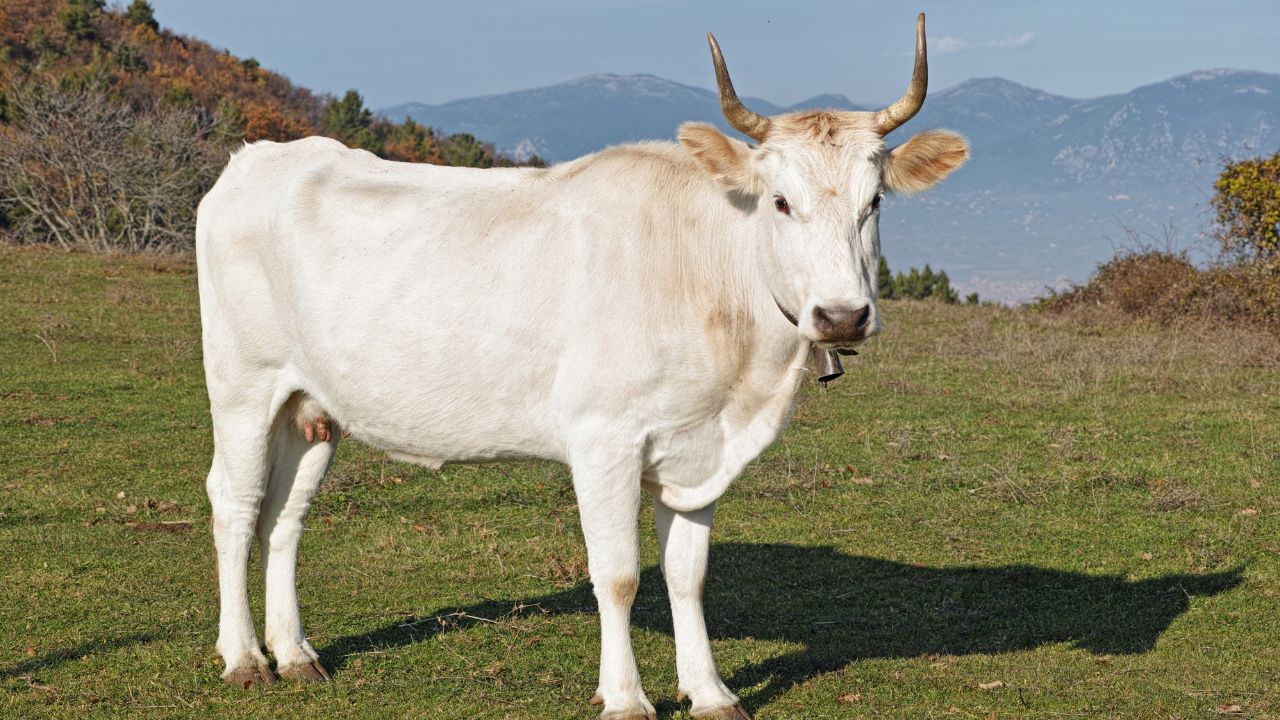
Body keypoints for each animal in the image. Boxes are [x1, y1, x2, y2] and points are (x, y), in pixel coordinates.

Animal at [195, 14, 966, 719]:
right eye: (781, 202)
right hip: (242, 383)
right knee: (235, 503)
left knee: (285, 514)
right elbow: (619, 575)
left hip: (310, 402)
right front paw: (625, 698)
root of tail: (260, 158)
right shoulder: (604, 438)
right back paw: (244, 660)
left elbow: (688, 575)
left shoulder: (698, 445)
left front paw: (711, 692)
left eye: (875, 201)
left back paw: (296, 654)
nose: (841, 316)